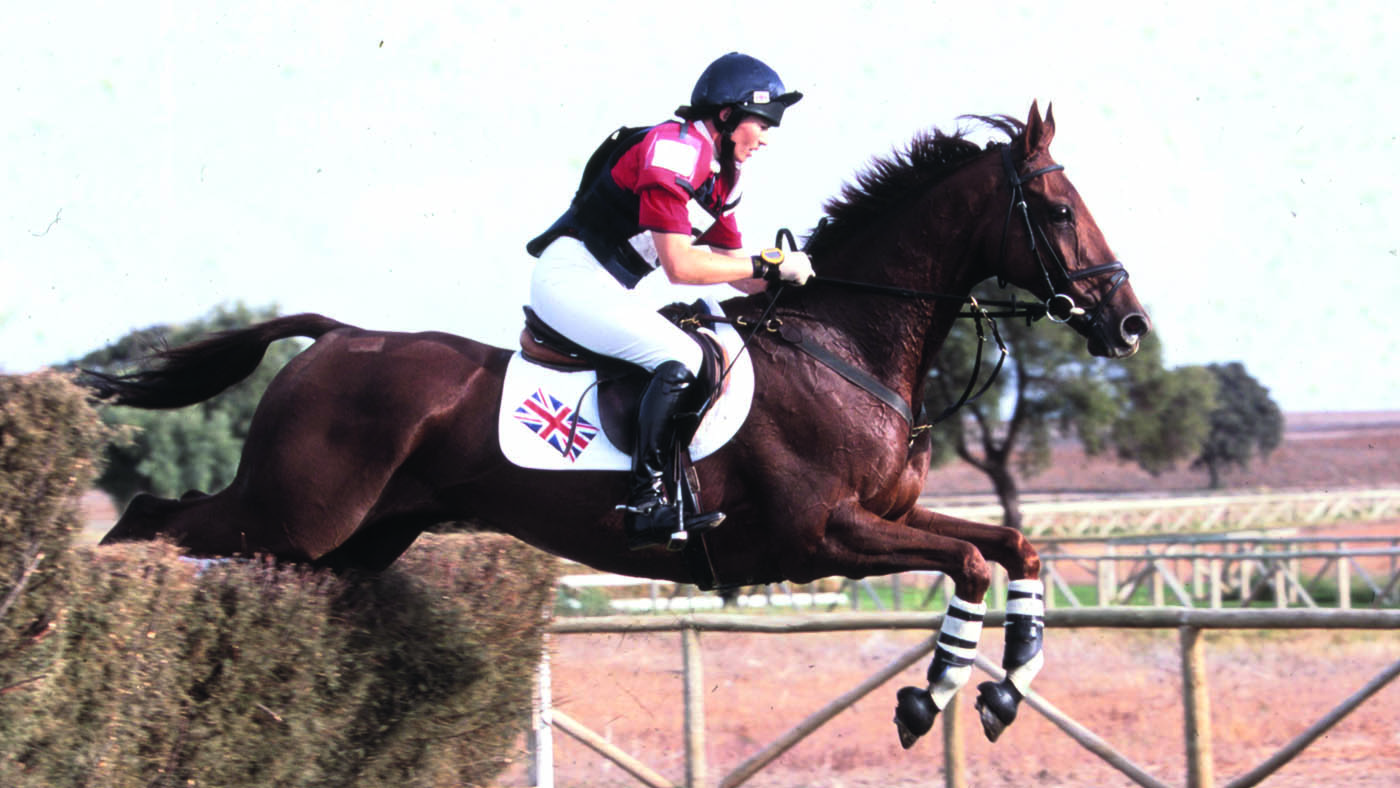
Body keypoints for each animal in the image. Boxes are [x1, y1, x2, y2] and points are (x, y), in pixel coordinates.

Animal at [87, 101, 1148, 750]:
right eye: (1057, 209)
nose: (1129, 325)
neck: (844, 344)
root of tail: (336, 338)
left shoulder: (886, 519)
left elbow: (1011, 545)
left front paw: (1009, 680)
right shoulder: (822, 536)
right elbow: (968, 562)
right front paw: (931, 696)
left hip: (353, 541)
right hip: (291, 519)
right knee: (151, 520)